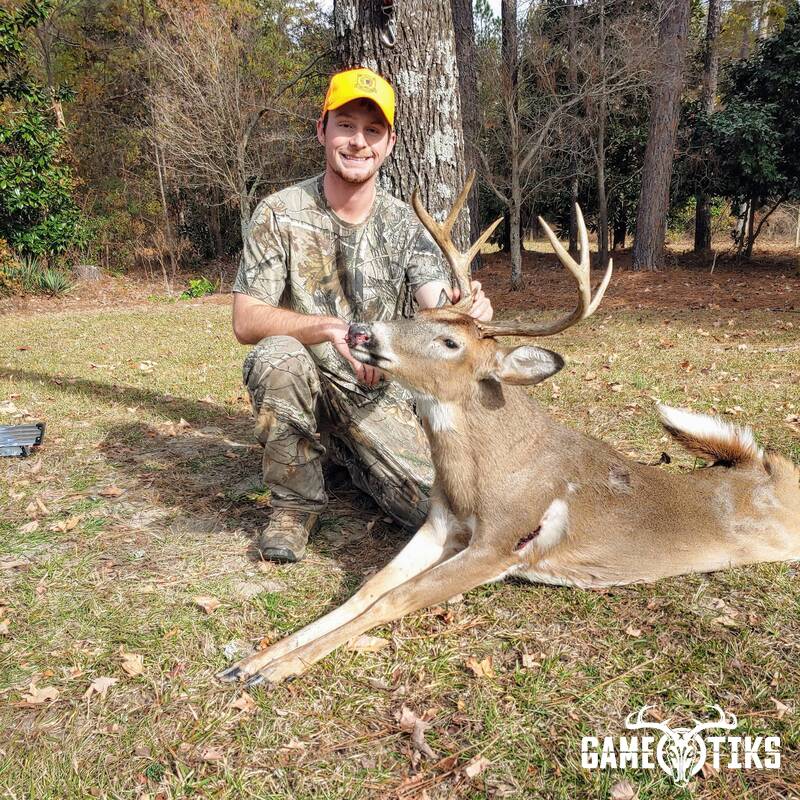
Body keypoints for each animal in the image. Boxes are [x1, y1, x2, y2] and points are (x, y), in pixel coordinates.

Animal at [219, 173, 800, 688]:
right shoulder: (439, 523)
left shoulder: (501, 542)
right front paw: (251, 662)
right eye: (417, 315)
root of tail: (766, 470)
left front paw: (277, 669)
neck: (477, 479)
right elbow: (367, 589)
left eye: (450, 342)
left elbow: (392, 598)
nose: (361, 332)